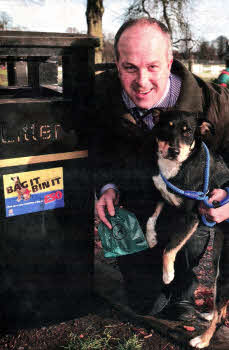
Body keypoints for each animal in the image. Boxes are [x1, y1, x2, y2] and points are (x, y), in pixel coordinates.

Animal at [147, 110, 229, 348]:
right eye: (167, 127)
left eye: (188, 132)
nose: (174, 151)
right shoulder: (162, 196)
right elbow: (151, 217)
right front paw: (151, 237)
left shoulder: (190, 217)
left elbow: (169, 249)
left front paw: (168, 275)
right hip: (217, 260)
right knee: (220, 305)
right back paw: (210, 314)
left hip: (226, 268)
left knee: (221, 309)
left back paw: (203, 339)